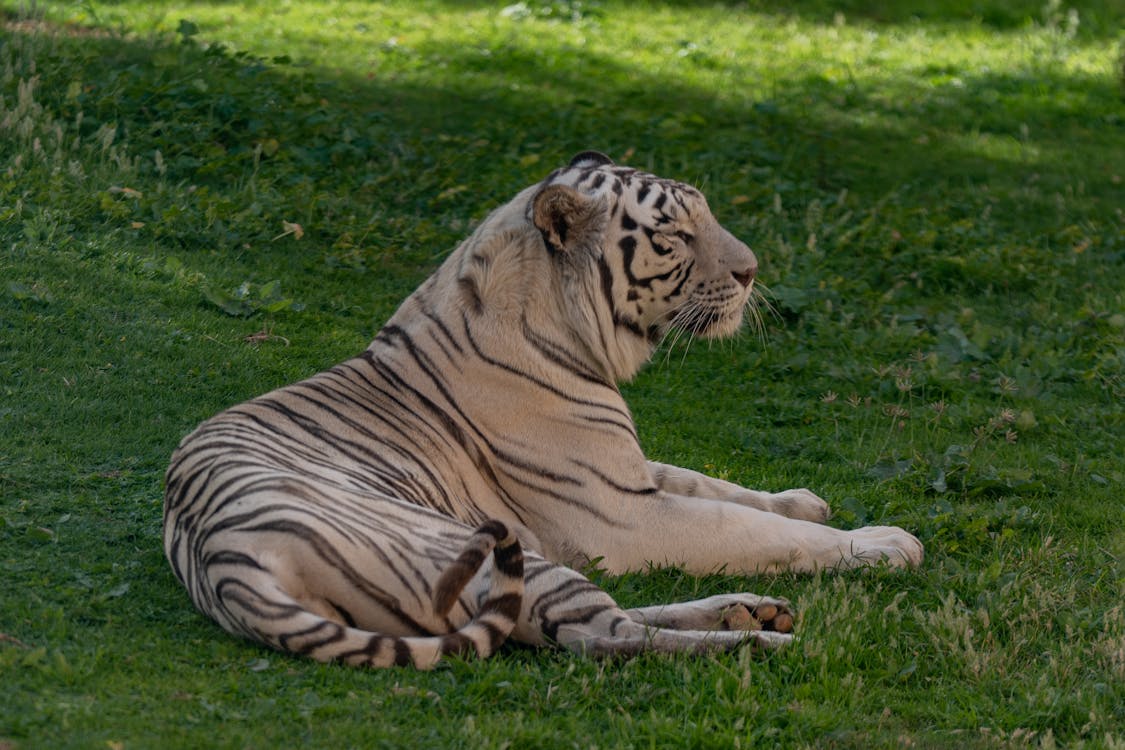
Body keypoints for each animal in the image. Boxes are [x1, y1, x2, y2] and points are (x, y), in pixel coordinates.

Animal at [166, 150, 922, 670]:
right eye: (676, 236)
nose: (751, 271)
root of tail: (226, 562)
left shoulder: (630, 471)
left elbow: (719, 485)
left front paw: (805, 499)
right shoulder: (622, 515)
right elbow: (752, 529)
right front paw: (882, 543)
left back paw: (751, 612)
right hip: (490, 551)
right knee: (604, 637)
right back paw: (757, 641)